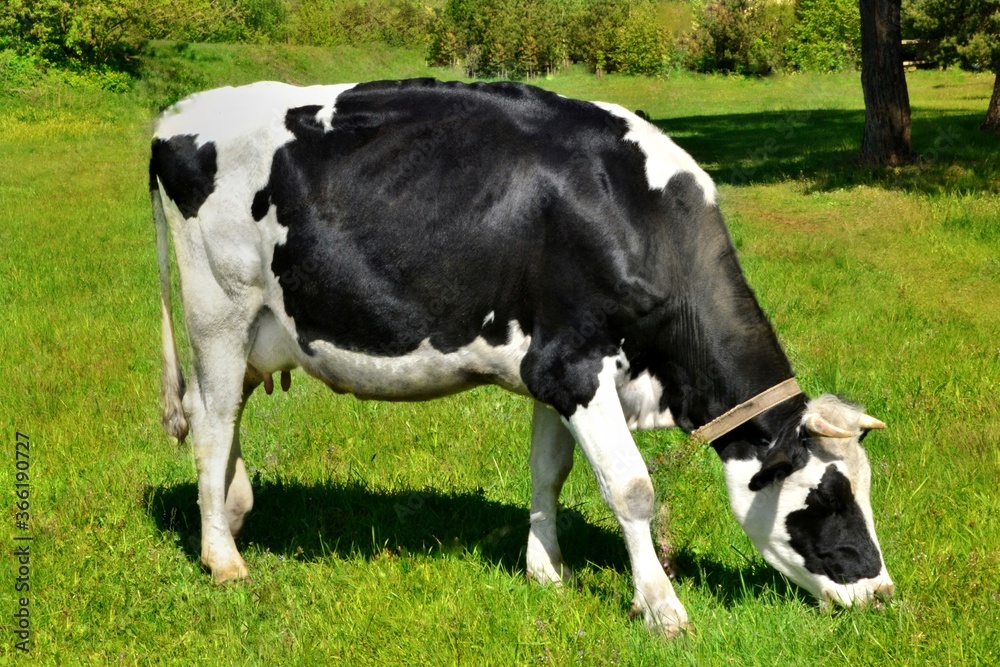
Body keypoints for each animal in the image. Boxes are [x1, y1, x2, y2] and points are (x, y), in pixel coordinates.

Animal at [152, 78, 896, 636]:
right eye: (827, 497)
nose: (883, 593)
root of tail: (178, 113)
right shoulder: (573, 366)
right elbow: (631, 487)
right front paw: (662, 609)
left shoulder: (551, 373)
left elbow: (549, 473)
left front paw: (546, 572)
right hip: (219, 312)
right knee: (212, 422)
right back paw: (223, 558)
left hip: (253, 331)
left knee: (223, 420)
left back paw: (234, 513)